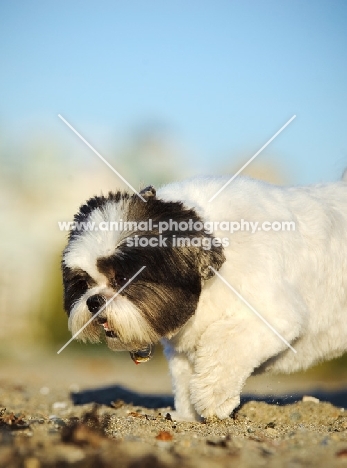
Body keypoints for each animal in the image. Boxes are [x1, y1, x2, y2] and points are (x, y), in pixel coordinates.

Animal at [61, 176, 347, 420]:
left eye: (122, 279)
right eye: (84, 283)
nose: (94, 302)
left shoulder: (271, 316)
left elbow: (224, 345)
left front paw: (211, 398)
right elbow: (185, 376)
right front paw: (187, 416)